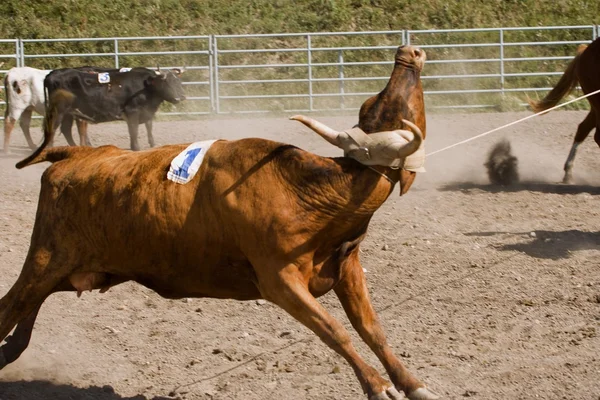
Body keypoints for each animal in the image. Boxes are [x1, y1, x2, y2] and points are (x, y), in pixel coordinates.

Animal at [41, 67, 185, 152]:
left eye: (178, 82)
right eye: (167, 82)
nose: (180, 97)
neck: (146, 86)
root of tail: (52, 74)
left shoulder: (146, 111)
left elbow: (148, 127)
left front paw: (152, 144)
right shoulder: (132, 111)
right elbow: (134, 130)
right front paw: (136, 147)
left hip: (69, 113)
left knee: (66, 129)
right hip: (59, 111)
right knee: (53, 127)